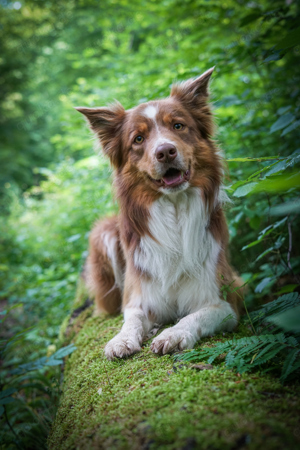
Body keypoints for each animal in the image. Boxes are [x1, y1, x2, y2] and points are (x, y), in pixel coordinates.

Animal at [76, 67, 243, 362]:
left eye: (177, 126)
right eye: (138, 139)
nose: (165, 151)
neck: (174, 212)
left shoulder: (227, 300)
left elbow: (194, 316)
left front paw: (173, 334)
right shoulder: (140, 296)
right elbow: (131, 318)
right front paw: (121, 339)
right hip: (104, 233)